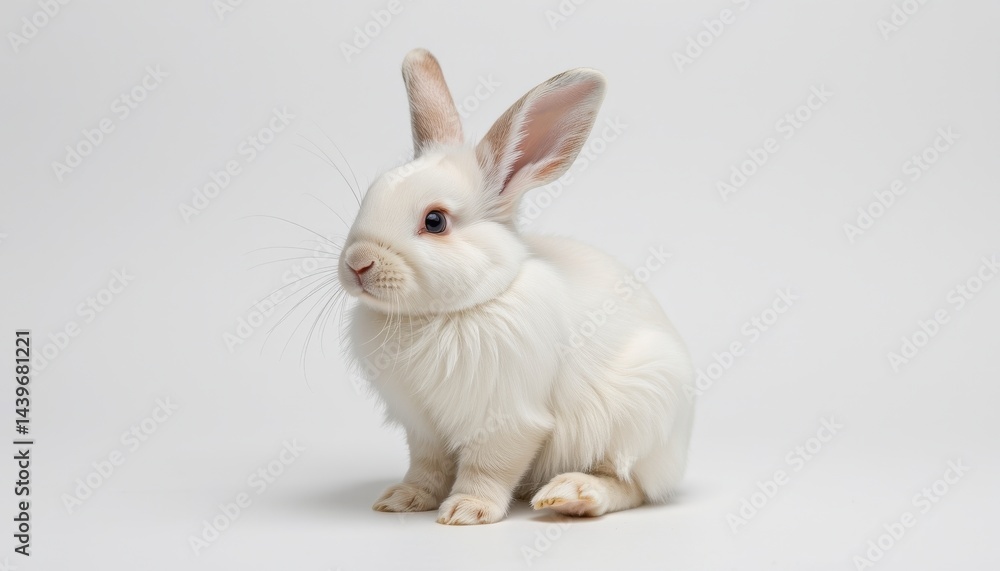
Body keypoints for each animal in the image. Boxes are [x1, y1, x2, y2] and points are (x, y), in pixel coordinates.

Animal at [337, 48, 695, 525]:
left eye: (435, 221)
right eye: (368, 199)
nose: (357, 263)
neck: (444, 313)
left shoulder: (509, 419)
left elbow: (489, 467)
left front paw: (466, 511)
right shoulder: (422, 427)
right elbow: (426, 468)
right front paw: (403, 499)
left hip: (643, 411)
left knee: (628, 484)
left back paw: (571, 495)